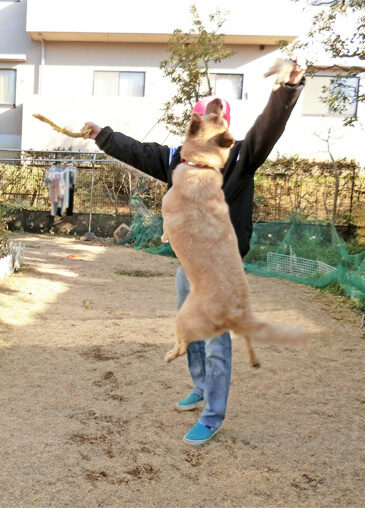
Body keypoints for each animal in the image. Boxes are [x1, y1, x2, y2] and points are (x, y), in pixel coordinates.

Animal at [161, 98, 308, 366]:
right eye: (217, 115)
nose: (218, 100)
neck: (203, 165)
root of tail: (236, 314)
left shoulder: (166, 212)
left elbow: (164, 228)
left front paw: (162, 237)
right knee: (244, 338)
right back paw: (253, 358)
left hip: (182, 319)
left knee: (183, 346)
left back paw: (169, 355)